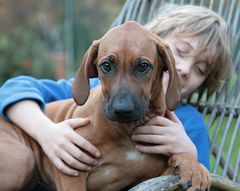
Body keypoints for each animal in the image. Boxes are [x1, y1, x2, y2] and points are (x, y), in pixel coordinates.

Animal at [0, 21, 209, 191]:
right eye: (106, 66)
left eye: (143, 66)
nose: (122, 110)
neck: (127, 130)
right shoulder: (71, 169)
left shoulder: (153, 176)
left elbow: (181, 154)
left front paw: (193, 166)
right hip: (23, 158)